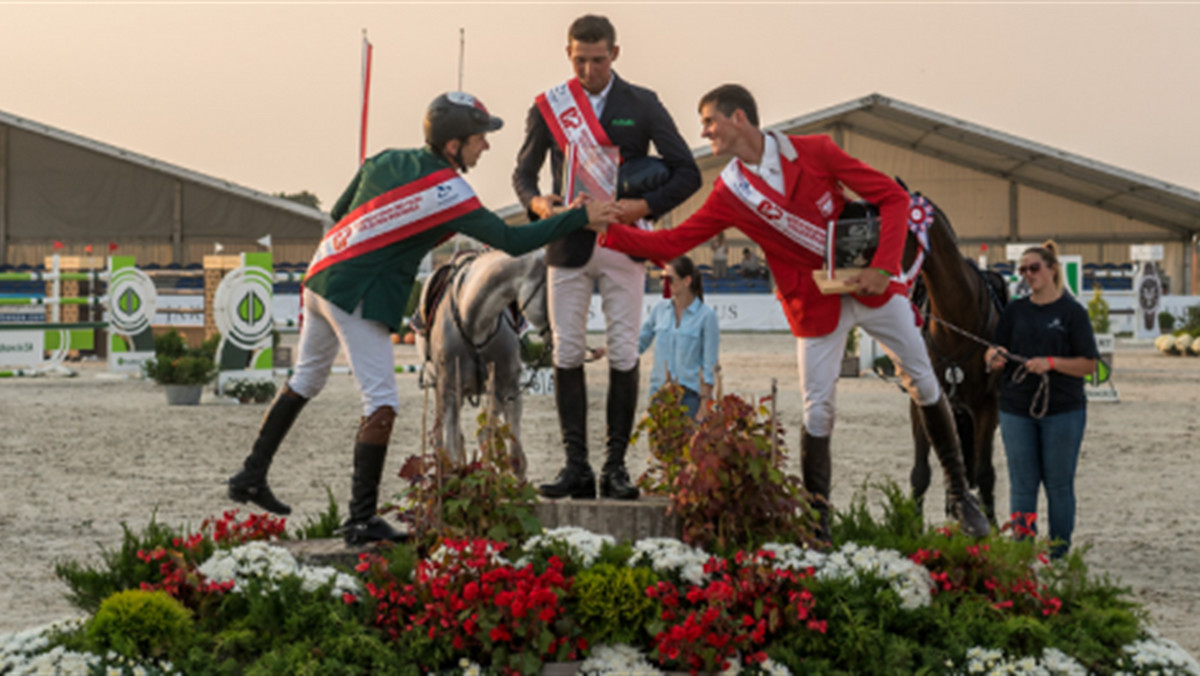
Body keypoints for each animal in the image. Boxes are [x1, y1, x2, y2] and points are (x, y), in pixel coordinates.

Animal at [410, 248, 547, 475]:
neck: (475, 322)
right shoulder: (450, 390)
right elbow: (452, 449)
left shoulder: (508, 389)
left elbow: (515, 456)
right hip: (436, 385)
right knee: (443, 435)